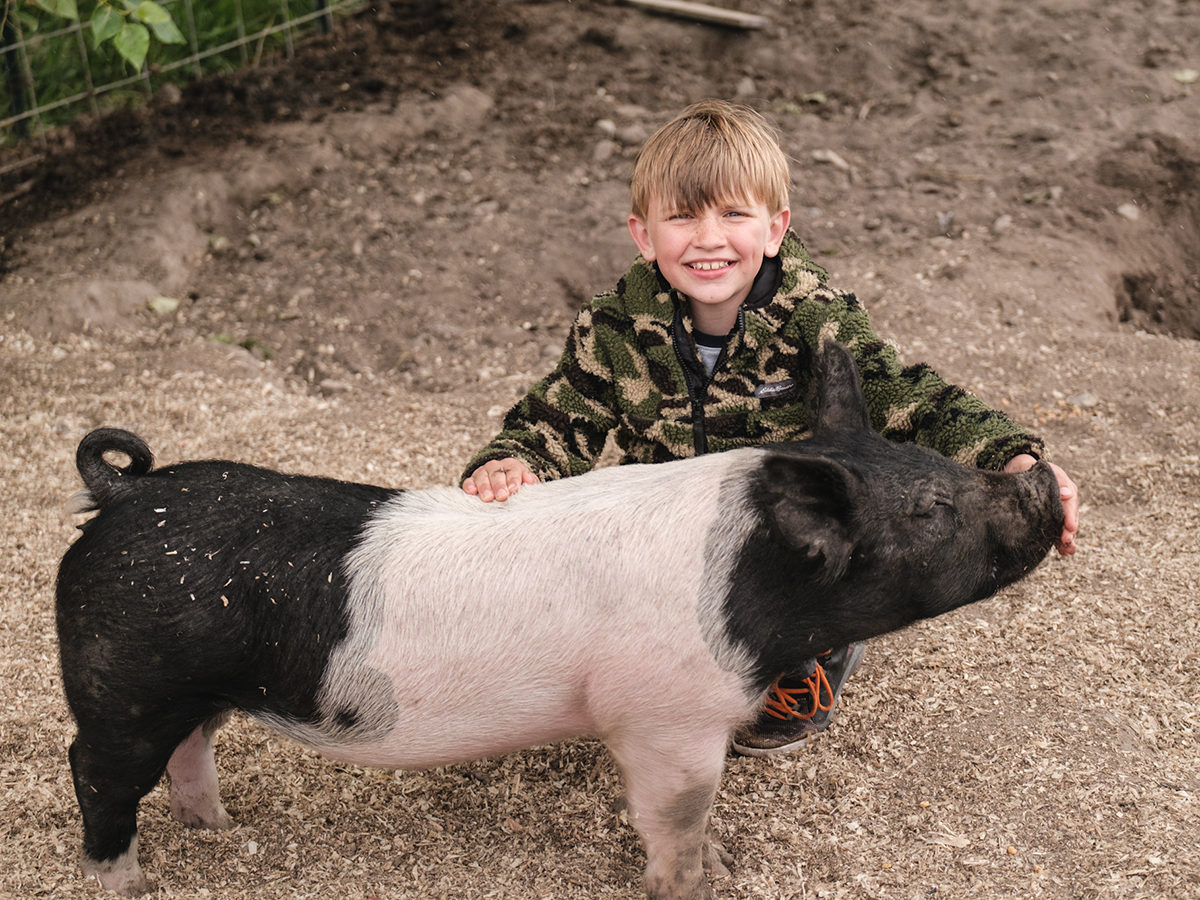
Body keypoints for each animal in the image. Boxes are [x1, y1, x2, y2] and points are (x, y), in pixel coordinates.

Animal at [55, 342, 1063, 898]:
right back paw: (130, 882)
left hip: (191, 687)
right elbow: (678, 814)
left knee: (190, 750)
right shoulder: (668, 717)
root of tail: (123, 494)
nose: (1045, 485)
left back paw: (219, 832)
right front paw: (705, 882)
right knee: (96, 771)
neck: (754, 584)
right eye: (930, 509)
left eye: (941, 463)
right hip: (123, 681)